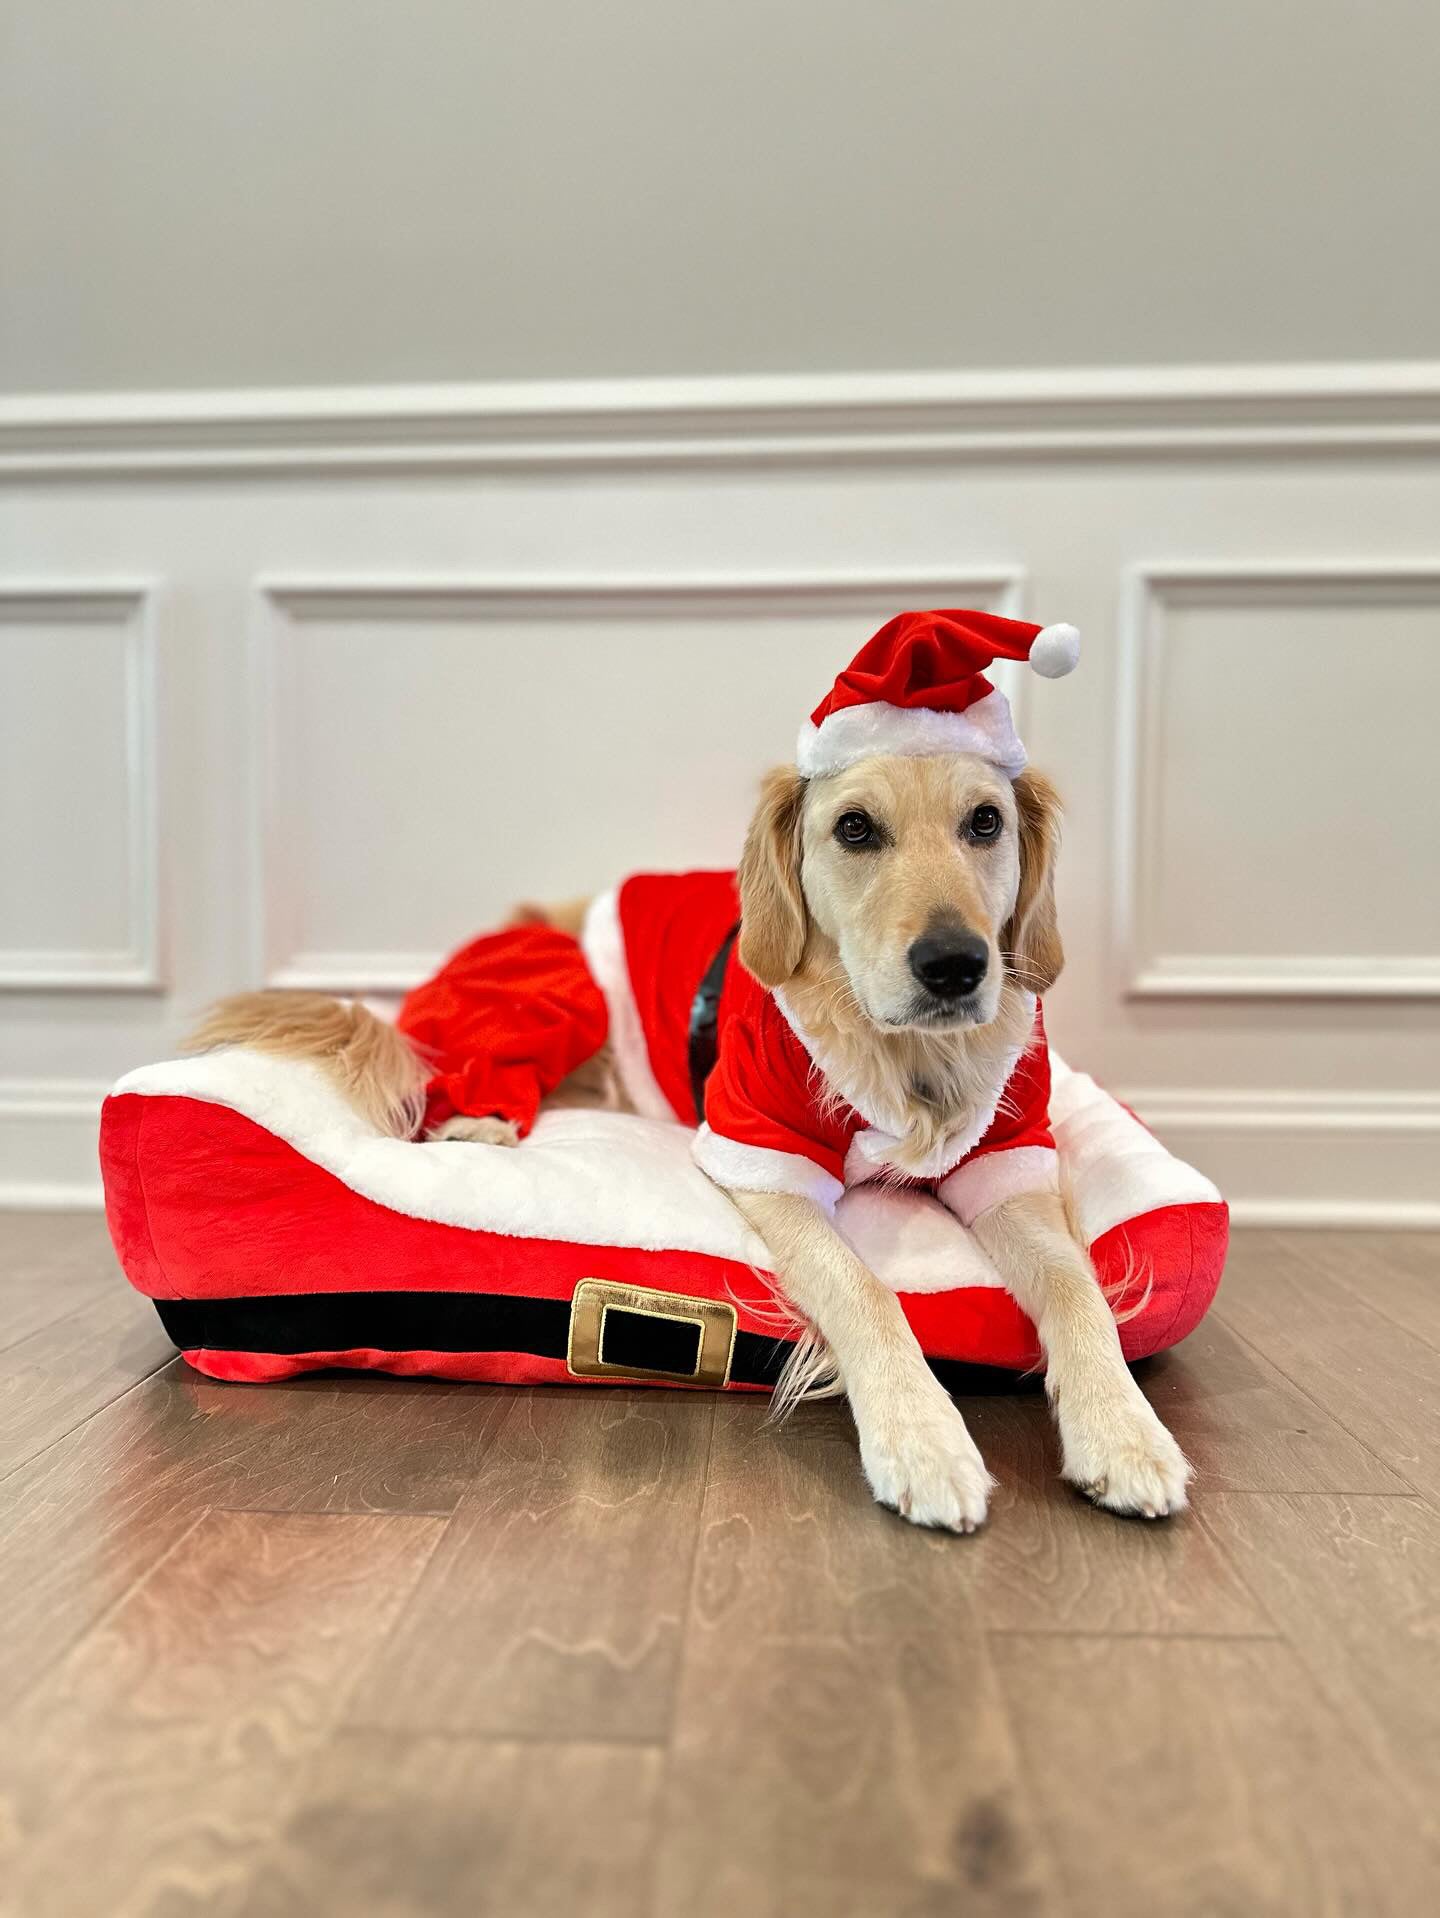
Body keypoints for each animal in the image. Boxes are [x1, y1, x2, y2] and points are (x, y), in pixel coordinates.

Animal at [194, 606, 1196, 1534]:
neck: (905, 1056)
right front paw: (923, 1438)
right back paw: (478, 1117)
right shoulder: (764, 1158)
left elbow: (1076, 1288)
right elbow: (868, 1291)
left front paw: (1124, 1432)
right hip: (548, 997)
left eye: (986, 822)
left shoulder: (1008, 1159)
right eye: (855, 829)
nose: (954, 966)